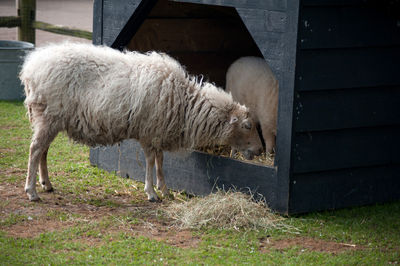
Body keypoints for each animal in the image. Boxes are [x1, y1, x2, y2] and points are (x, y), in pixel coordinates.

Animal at [20, 42, 262, 202]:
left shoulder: (159, 132)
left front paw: (164, 190)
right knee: (35, 149)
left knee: (43, 150)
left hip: (50, 119)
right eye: (247, 126)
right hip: (47, 116)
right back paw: (31, 191)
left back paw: (46, 184)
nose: (260, 150)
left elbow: (161, 162)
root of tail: (31, 68)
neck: (185, 104)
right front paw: (152, 193)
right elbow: (150, 161)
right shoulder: (148, 131)